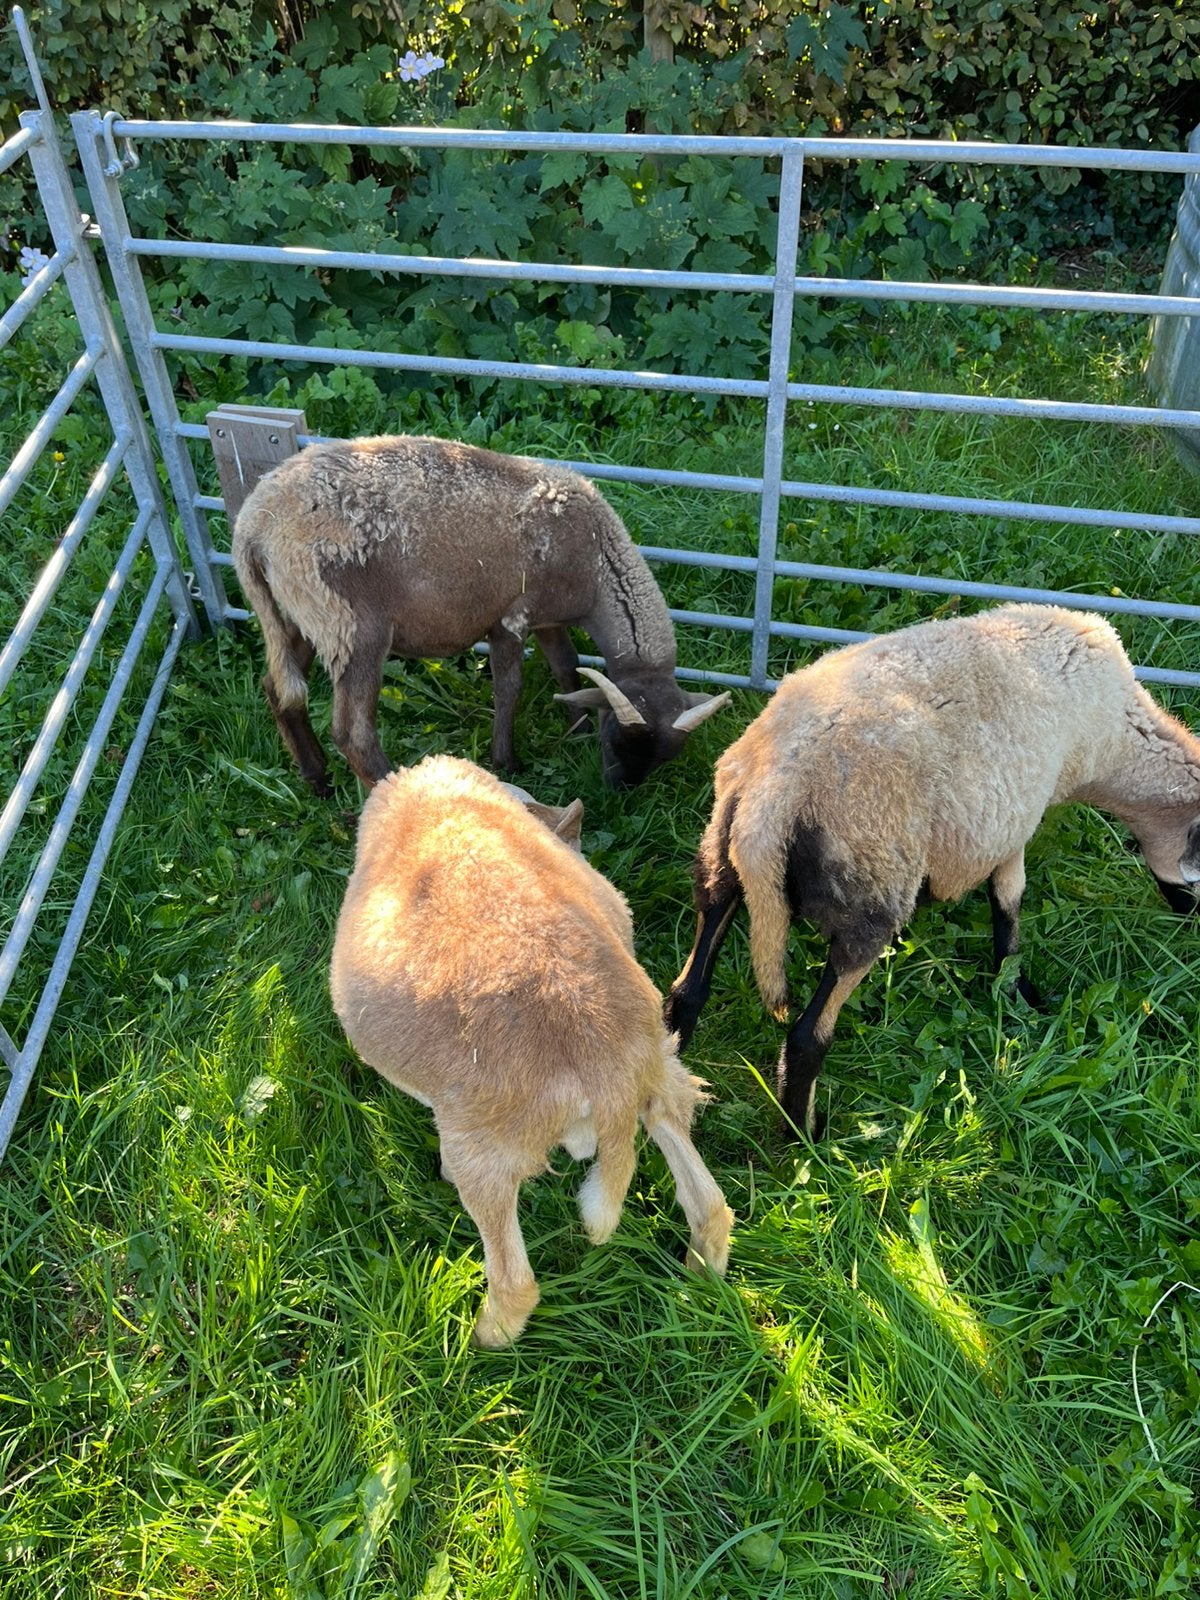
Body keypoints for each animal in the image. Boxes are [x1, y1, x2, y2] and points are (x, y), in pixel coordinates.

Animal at [231, 433, 729, 794]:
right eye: (616, 740)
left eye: (665, 757)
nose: (620, 792)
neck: (596, 563)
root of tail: (253, 526)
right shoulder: (511, 617)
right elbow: (510, 688)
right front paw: (506, 760)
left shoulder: (548, 617)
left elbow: (566, 668)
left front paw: (576, 728)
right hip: (351, 625)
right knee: (353, 734)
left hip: (301, 615)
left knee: (278, 689)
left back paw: (316, 779)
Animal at [329, 753, 734, 1347]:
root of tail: (601, 1063)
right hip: (664, 1068)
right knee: (707, 1202)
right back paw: (702, 1278)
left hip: (484, 1152)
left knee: (515, 1282)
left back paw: (476, 1343)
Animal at [664, 603, 1200, 1140]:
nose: (1191, 927)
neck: (1116, 745)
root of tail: (772, 798)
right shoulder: (1014, 819)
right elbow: (1009, 902)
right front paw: (1018, 993)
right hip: (871, 888)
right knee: (806, 1038)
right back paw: (806, 1136)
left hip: (719, 855)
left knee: (686, 991)